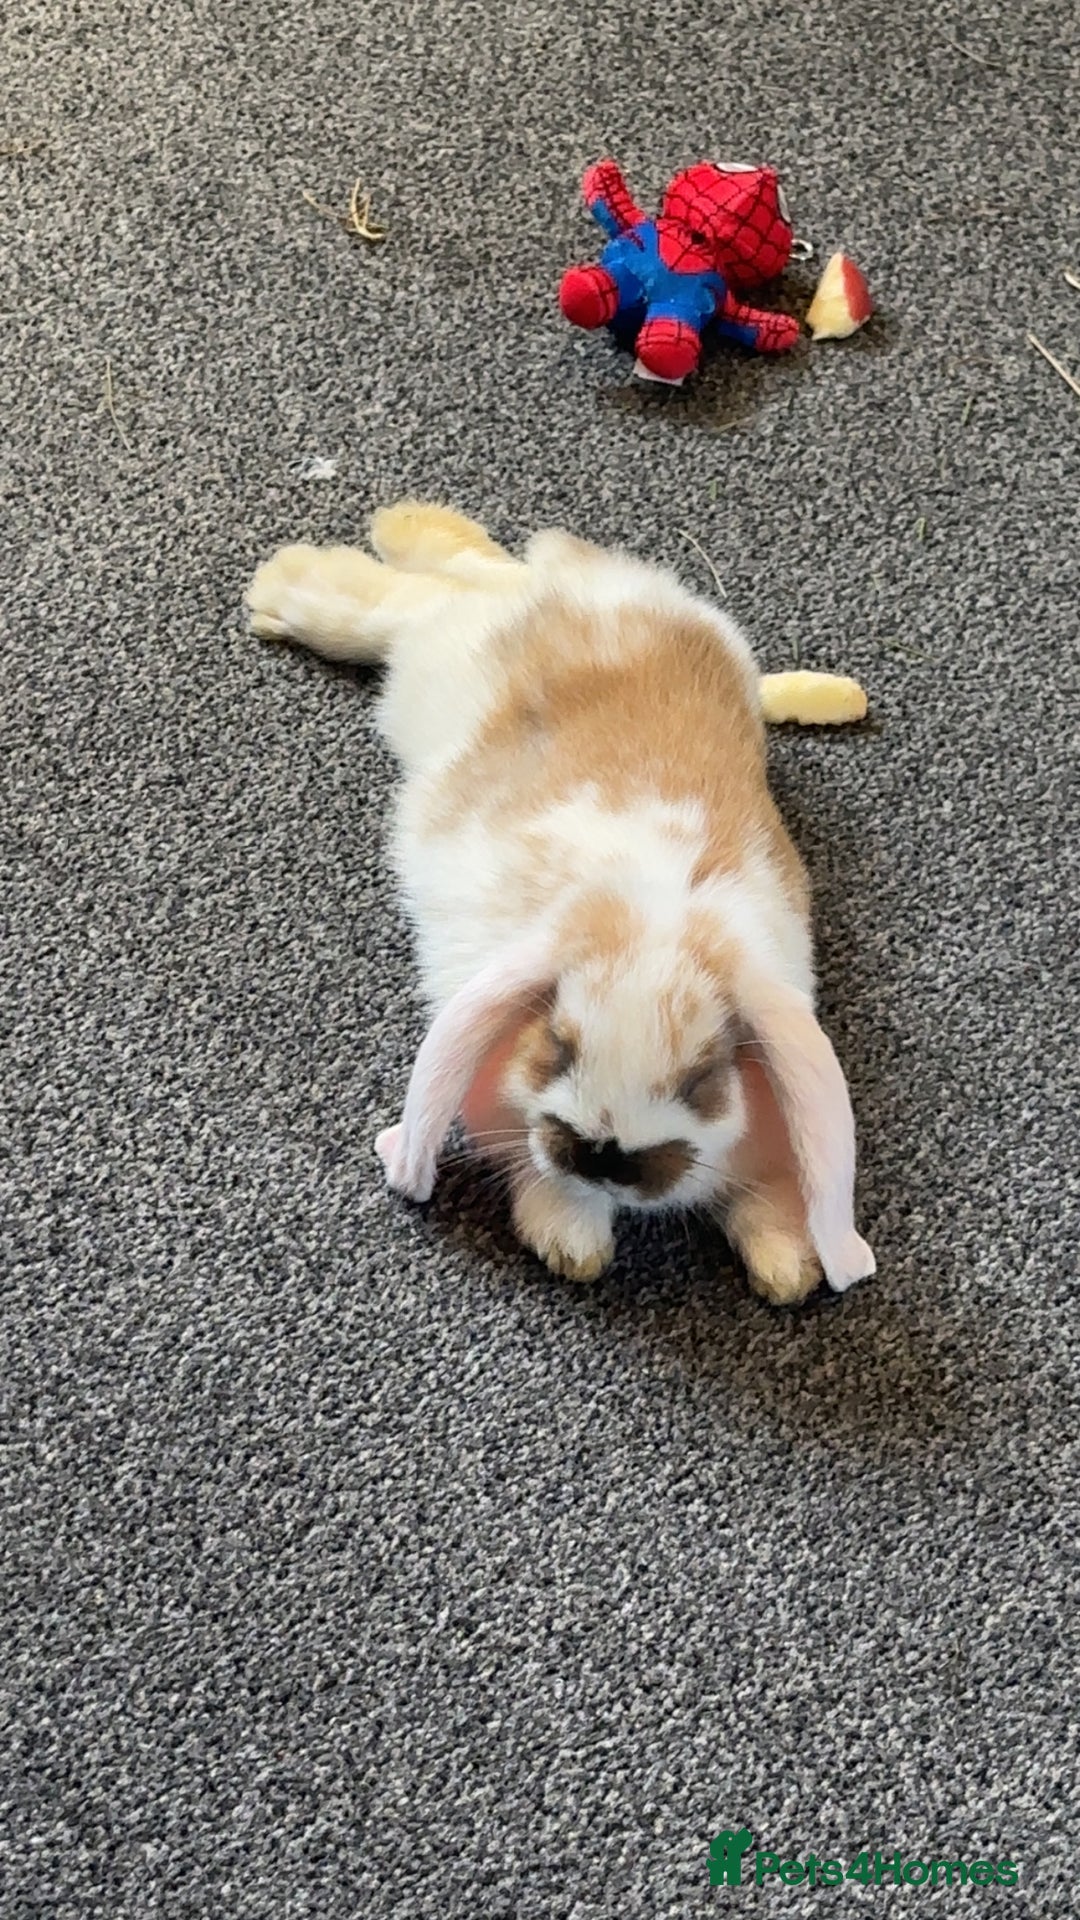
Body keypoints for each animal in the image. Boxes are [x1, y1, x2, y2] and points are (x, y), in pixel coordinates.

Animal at [246, 502, 875, 1304]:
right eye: (558, 1045)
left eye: (704, 1079)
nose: (606, 1153)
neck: (658, 924)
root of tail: (567, 594)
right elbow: (544, 1179)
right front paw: (574, 1245)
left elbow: (771, 1197)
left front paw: (789, 1269)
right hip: (435, 656)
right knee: (406, 602)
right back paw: (291, 582)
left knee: (461, 575)